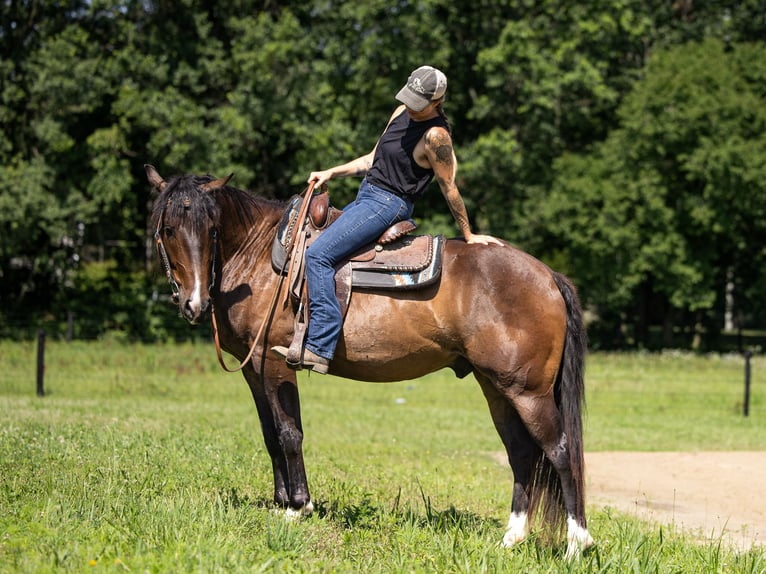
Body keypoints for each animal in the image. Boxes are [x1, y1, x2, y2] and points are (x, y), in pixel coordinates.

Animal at [145, 164, 594, 558]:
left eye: (211, 229)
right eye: (168, 230)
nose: (194, 303)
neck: (261, 256)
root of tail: (549, 276)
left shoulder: (275, 365)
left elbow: (289, 434)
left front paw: (298, 507)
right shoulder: (254, 370)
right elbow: (270, 435)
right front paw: (279, 502)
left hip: (529, 393)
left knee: (560, 451)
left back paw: (576, 544)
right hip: (497, 388)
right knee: (520, 452)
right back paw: (512, 538)